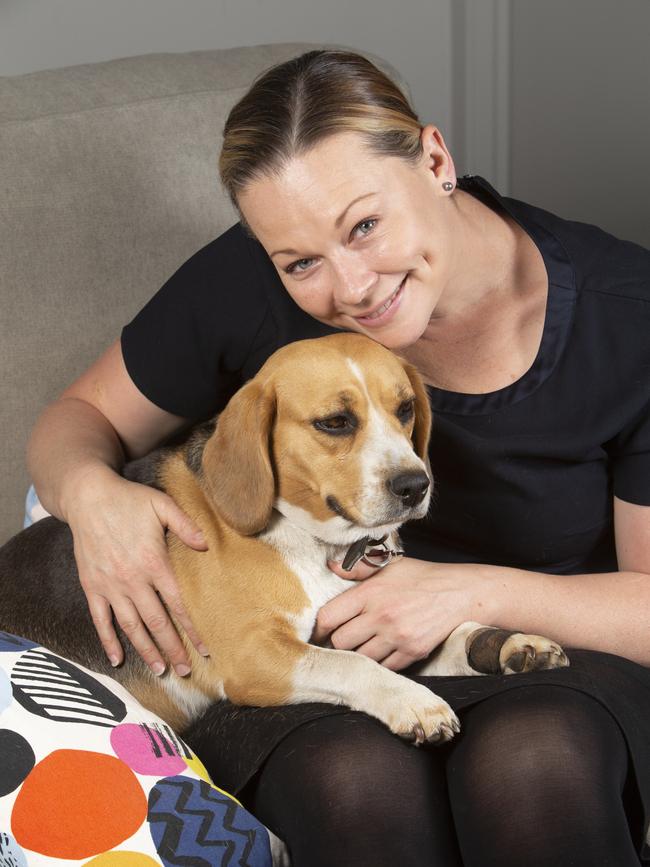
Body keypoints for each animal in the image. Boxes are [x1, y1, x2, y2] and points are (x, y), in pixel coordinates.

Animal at [0, 336, 568, 744]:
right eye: (335, 422)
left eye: (406, 409)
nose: (415, 485)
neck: (311, 541)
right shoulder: (255, 657)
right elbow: (351, 663)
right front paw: (413, 700)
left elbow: (451, 636)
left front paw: (508, 644)